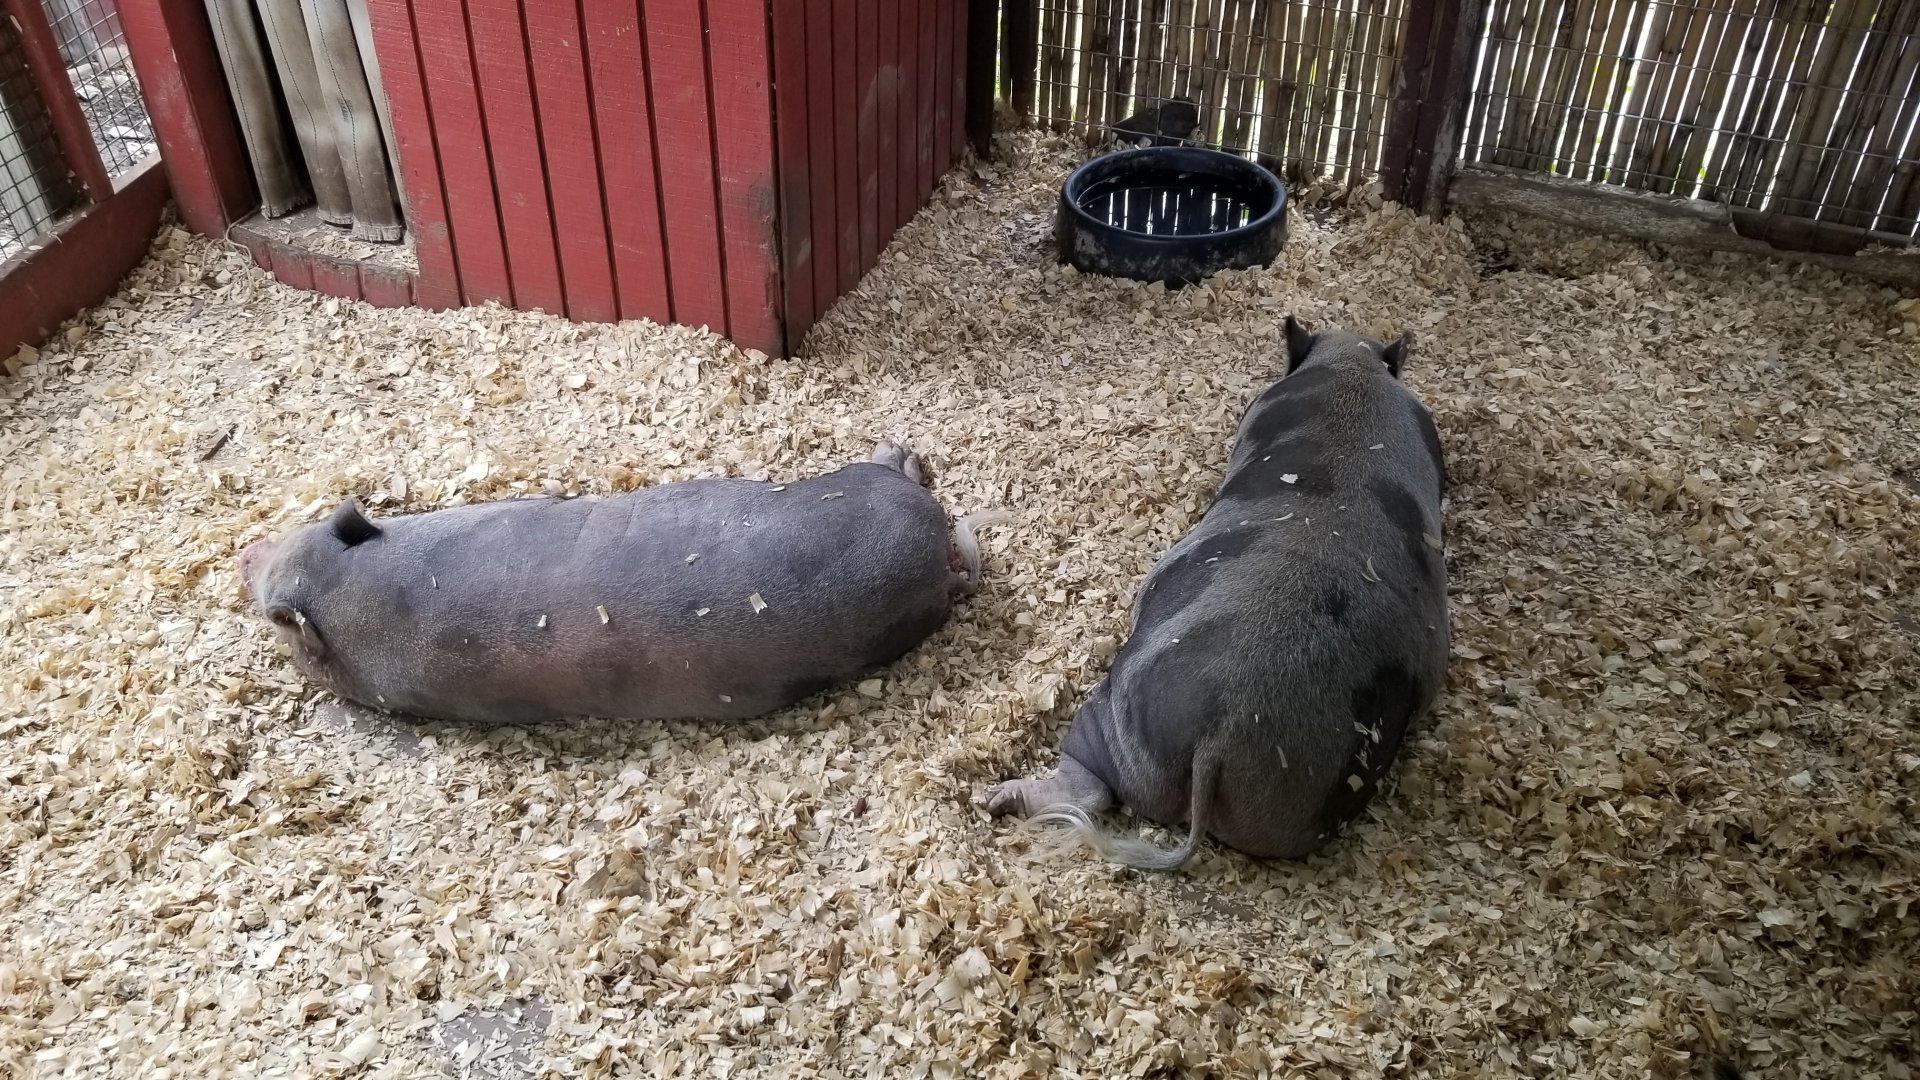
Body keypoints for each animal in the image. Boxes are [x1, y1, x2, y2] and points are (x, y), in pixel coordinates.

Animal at [984, 316, 1449, 869]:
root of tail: (1222, 731)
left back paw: (995, 799)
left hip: (1116, 714)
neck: (1353, 367)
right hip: (1298, 807)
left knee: (1090, 785)